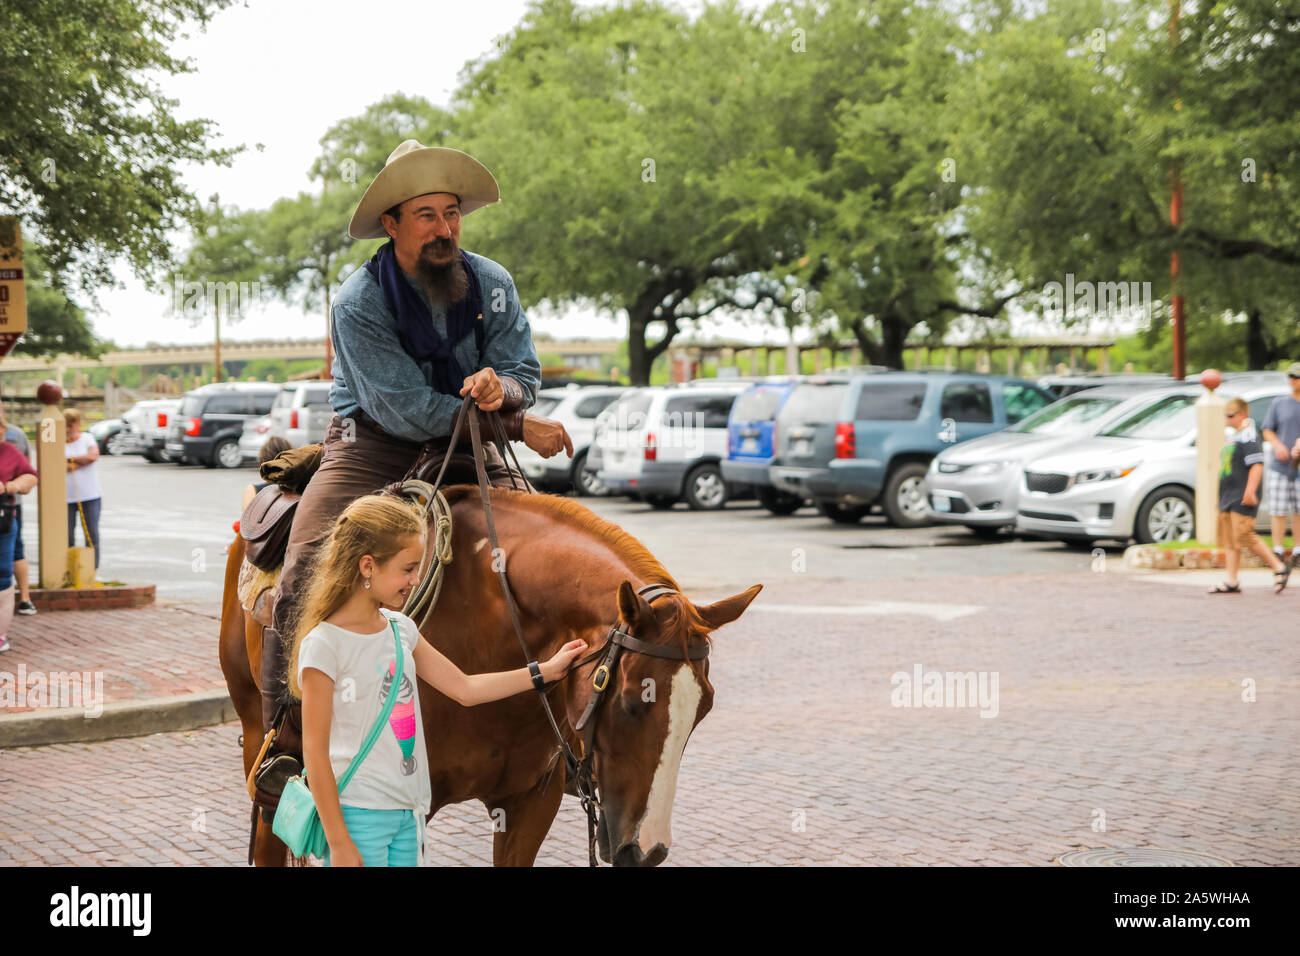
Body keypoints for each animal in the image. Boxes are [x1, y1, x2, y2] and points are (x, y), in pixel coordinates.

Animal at [218, 486, 759, 868]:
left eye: (703, 710)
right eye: (630, 702)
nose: (647, 850)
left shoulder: (531, 802)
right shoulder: (408, 802)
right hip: (257, 736)